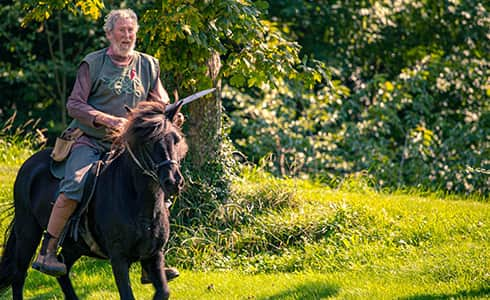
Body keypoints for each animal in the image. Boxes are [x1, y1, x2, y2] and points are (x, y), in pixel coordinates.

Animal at [0, 101, 188, 300]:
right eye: (148, 142)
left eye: (176, 139)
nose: (174, 181)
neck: (140, 205)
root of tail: (29, 166)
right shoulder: (119, 258)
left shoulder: (154, 255)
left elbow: (163, 291)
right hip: (28, 232)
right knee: (19, 275)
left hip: (74, 246)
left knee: (62, 271)